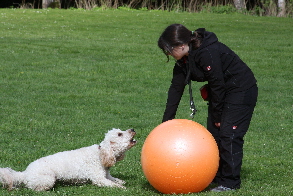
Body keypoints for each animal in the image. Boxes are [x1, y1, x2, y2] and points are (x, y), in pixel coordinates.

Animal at [0, 128, 136, 191]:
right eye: (120, 134)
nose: (133, 129)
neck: (100, 154)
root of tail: (25, 173)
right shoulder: (99, 179)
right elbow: (114, 185)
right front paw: (124, 188)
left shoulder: (107, 175)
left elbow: (116, 180)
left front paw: (122, 182)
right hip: (48, 179)